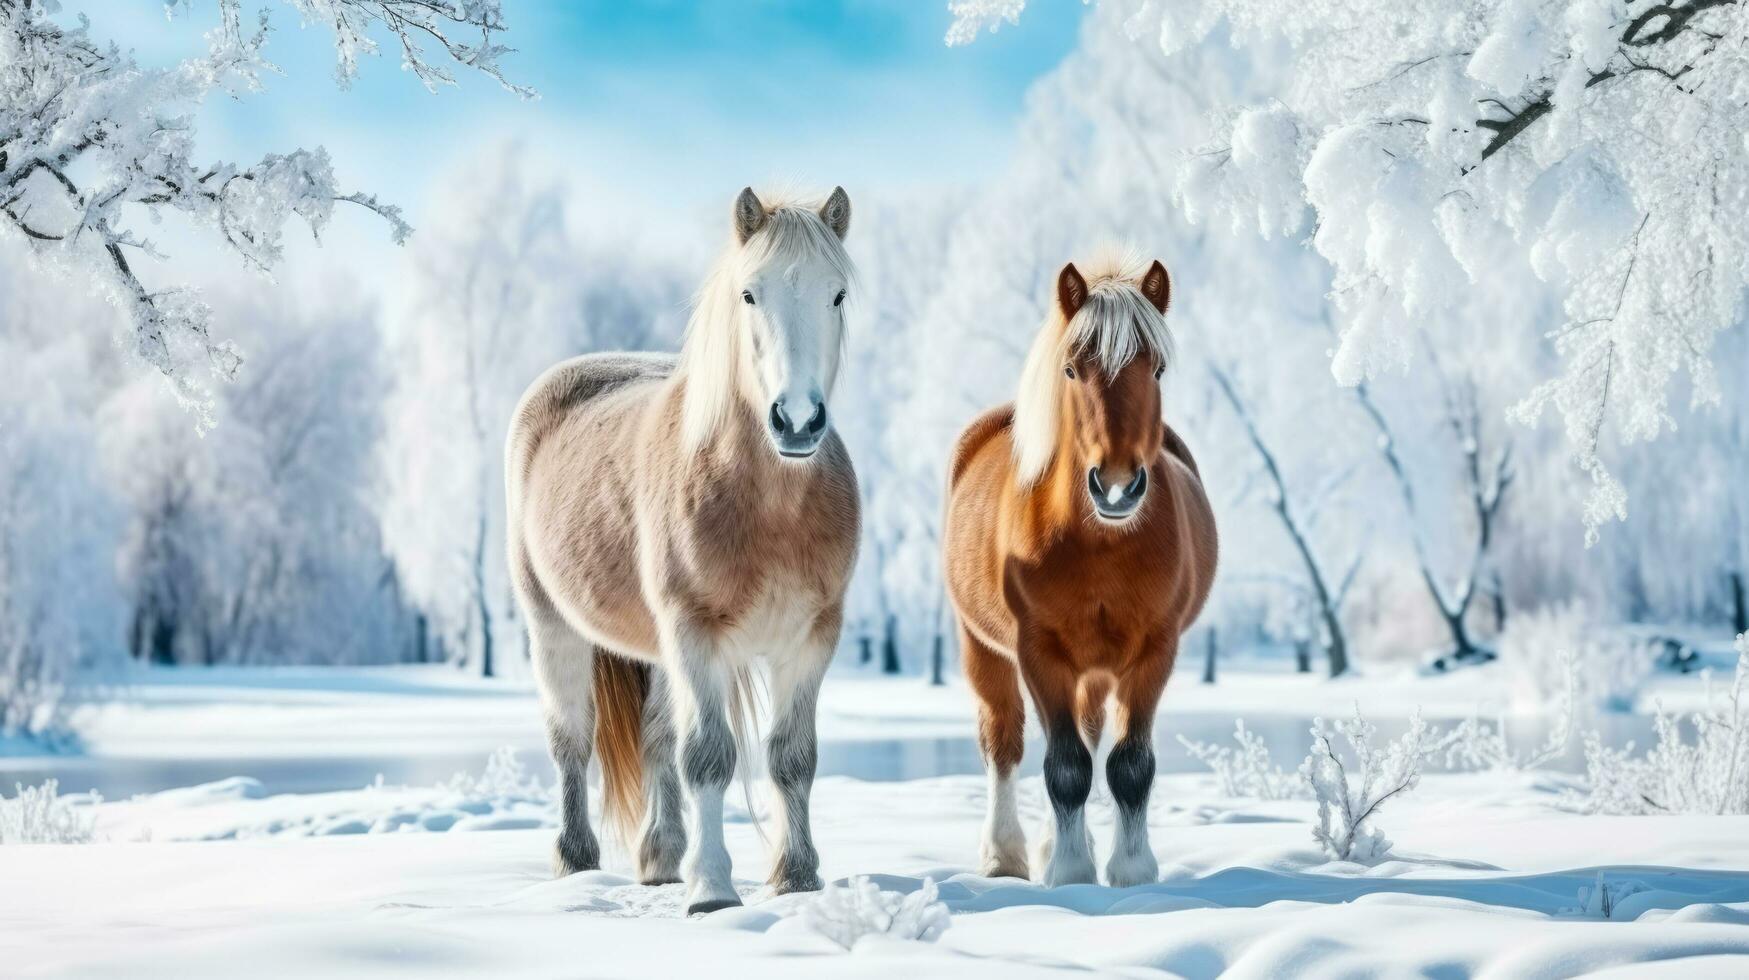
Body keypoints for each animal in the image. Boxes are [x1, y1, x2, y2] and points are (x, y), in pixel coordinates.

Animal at [507, 187, 860, 917]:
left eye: (837, 294)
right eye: (749, 293)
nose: (797, 422)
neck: (770, 507)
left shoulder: (812, 637)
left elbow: (792, 758)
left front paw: (797, 876)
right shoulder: (695, 633)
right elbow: (709, 758)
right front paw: (713, 889)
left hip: (661, 651)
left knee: (656, 740)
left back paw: (661, 858)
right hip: (553, 629)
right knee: (572, 742)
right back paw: (577, 862)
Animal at [944, 252, 1217, 889]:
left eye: (1157, 369)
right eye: (1071, 369)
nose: (1116, 485)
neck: (1102, 547)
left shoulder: (1155, 650)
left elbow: (1128, 764)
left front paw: (1130, 871)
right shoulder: (1038, 650)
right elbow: (1064, 766)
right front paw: (1070, 873)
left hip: (1094, 670)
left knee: (1090, 740)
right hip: (982, 647)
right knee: (1004, 741)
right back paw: (1005, 856)